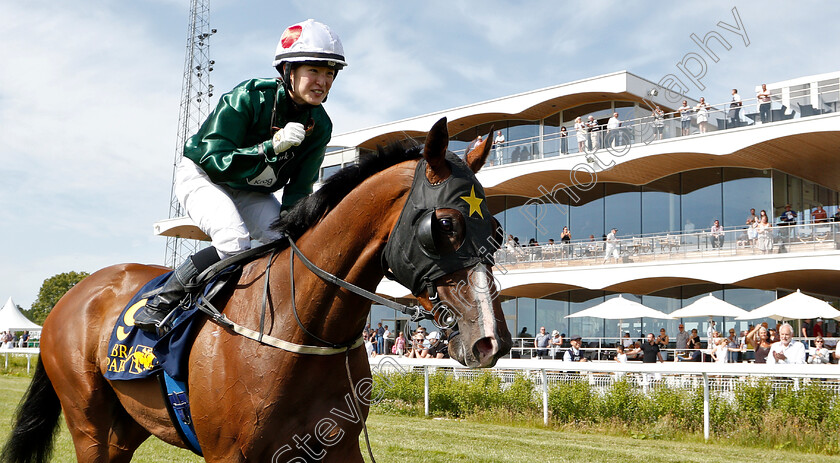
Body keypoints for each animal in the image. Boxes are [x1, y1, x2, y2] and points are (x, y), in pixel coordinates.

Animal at [1, 118, 512, 463]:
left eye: (497, 231)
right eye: (444, 225)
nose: (491, 341)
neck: (297, 326)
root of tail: (74, 293)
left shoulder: (336, 445)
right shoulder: (230, 453)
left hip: (126, 425)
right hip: (88, 421)